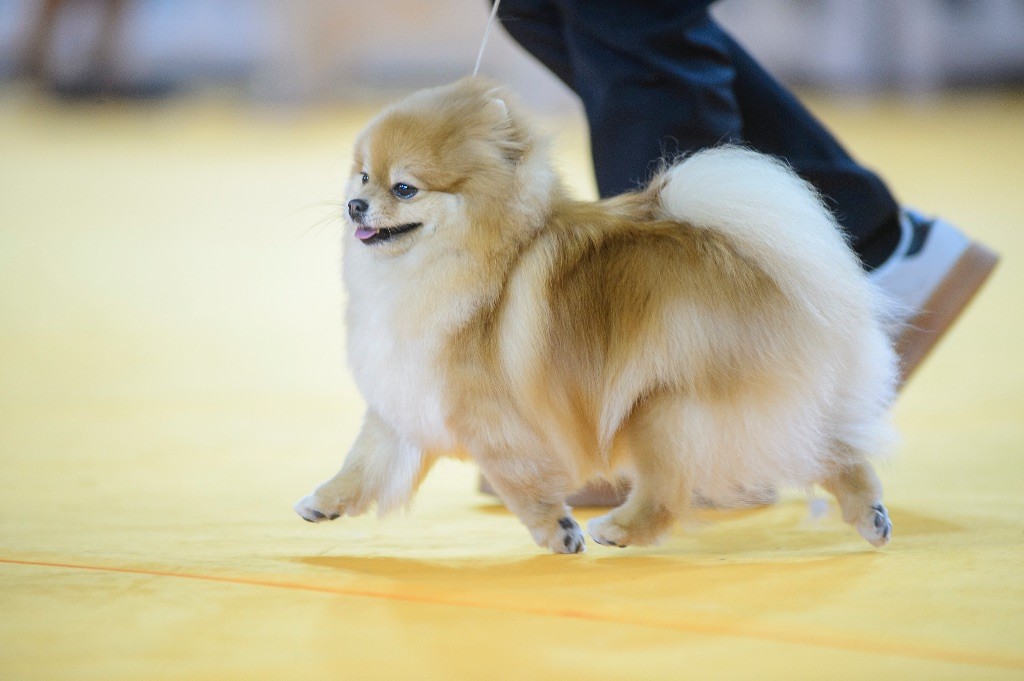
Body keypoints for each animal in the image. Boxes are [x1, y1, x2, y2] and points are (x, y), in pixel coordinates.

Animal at [294, 76, 897, 552]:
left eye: (405, 188)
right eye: (362, 176)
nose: (355, 206)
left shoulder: (489, 419)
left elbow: (519, 482)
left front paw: (556, 532)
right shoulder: (405, 399)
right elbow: (363, 463)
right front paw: (323, 502)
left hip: (661, 408)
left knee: (669, 491)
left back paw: (618, 528)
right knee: (833, 450)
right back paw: (871, 517)